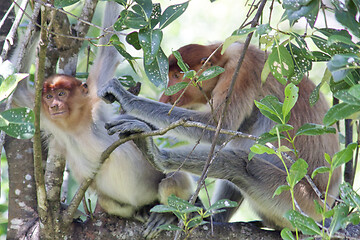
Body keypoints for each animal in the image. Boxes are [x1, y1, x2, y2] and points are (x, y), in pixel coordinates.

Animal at [12, 0, 194, 237]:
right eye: (49, 96)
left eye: (61, 94)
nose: (54, 106)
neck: (76, 124)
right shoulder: (44, 114)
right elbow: (16, 92)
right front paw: (37, 22)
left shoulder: (95, 93)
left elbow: (110, 49)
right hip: (116, 202)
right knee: (110, 202)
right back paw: (140, 212)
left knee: (172, 180)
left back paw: (167, 214)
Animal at [100, 42, 342, 230]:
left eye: (177, 76)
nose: (165, 97)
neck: (225, 59)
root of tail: (325, 209)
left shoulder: (242, 70)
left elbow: (216, 125)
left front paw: (127, 101)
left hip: (295, 199)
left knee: (240, 163)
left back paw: (156, 155)